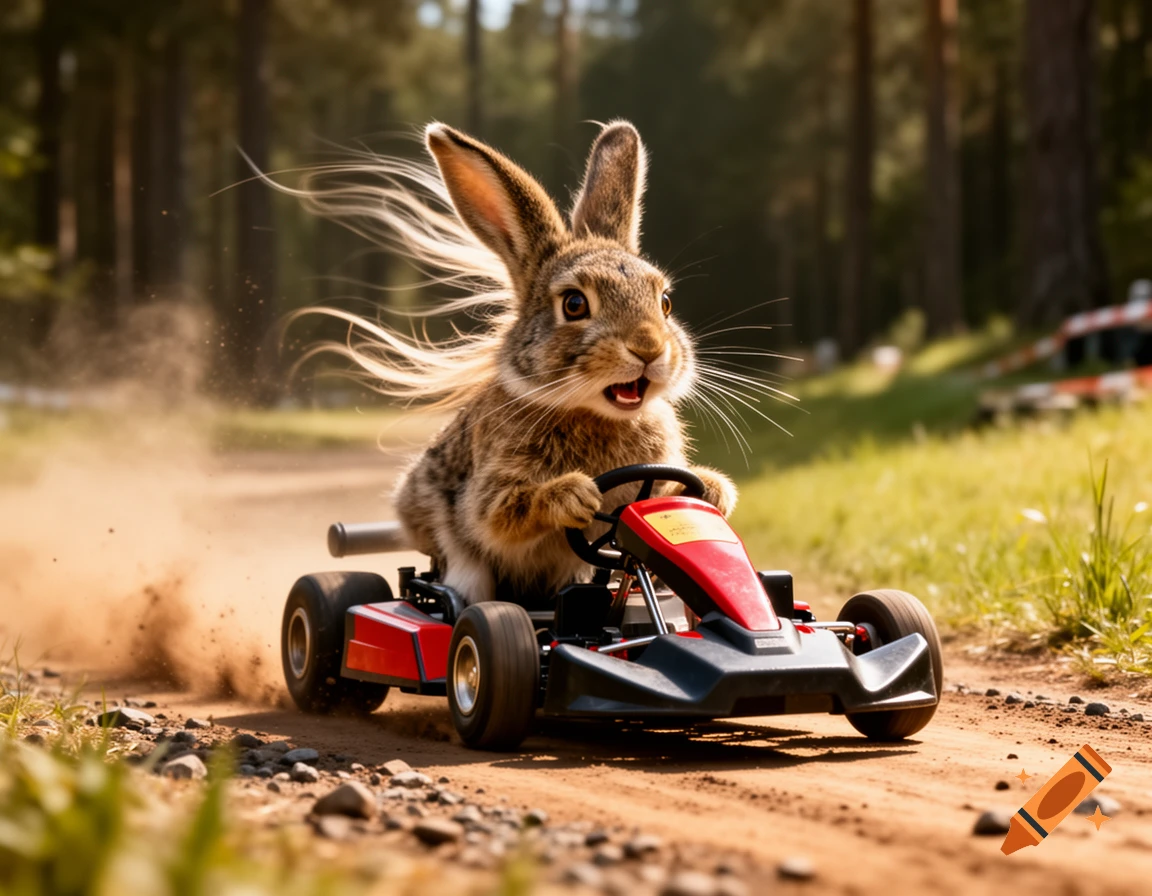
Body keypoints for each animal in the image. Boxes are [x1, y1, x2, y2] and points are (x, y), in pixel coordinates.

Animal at [288, 120, 737, 604]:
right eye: (574, 304)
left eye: (665, 302)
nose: (649, 348)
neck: (594, 414)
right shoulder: (489, 492)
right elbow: (501, 513)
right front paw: (573, 495)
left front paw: (714, 488)